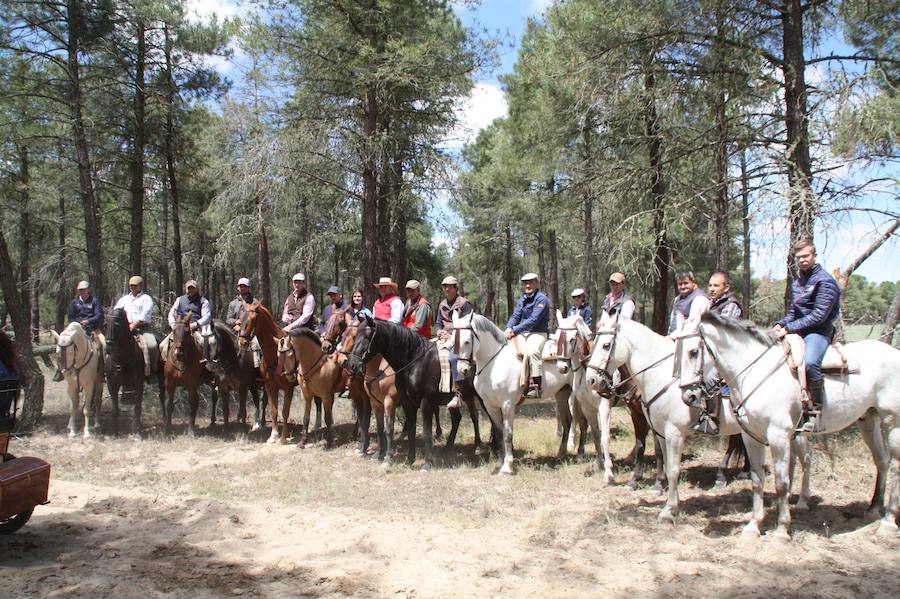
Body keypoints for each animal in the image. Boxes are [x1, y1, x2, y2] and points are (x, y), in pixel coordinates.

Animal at [104, 308, 166, 438]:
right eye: (105, 324)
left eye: (117, 323)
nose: (108, 347)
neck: (121, 359)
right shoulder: (112, 385)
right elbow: (115, 409)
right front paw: (115, 433)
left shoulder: (138, 384)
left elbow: (137, 408)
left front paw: (137, 432)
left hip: (161, 377)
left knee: (162, 397)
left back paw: (165, 420)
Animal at [346, 314, 486, 468]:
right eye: (355, 336)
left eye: (366, 336)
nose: (351, 365)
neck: (414, 362)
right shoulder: (400, 403)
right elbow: (402, 429)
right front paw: (408, 459)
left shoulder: (420, 402)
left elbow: (423, 432)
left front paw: (426, 463)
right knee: (457, 419)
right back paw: (448, 447)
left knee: (477, 417)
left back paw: (480, 447)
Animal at [454, 312, 572, 476]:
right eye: (454, 341)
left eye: (467, 341)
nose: (462, 370)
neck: (494, 362)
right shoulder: (490, 406)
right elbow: (499, 433)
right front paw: (499, 462)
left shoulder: (507, 405)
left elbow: (508, 433)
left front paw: (507, 466)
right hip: (561, 394)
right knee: (568, 421)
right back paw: (561, 454)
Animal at [588, 314, 812, 536]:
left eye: (606, 345)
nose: (591, 380)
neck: (661, 376)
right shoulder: (660, 432)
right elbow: (666, 463)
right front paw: (670, 503)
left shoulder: (674, 433)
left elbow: (673, 470)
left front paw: (668, 511)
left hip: (790, 431)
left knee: (804, 459)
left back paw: (799, 500)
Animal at [680, 312, 896, 536]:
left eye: (693, 352)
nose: (689, 396)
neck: (755, 372)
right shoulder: (751, 436)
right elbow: (757, 480)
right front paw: (753, 525)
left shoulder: (778, 436)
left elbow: (781, 483)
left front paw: (782, 530)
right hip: (868, 419)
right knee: (882, 460)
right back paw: (873, 509)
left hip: (891, 420)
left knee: (894, 466)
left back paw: (888, 522)